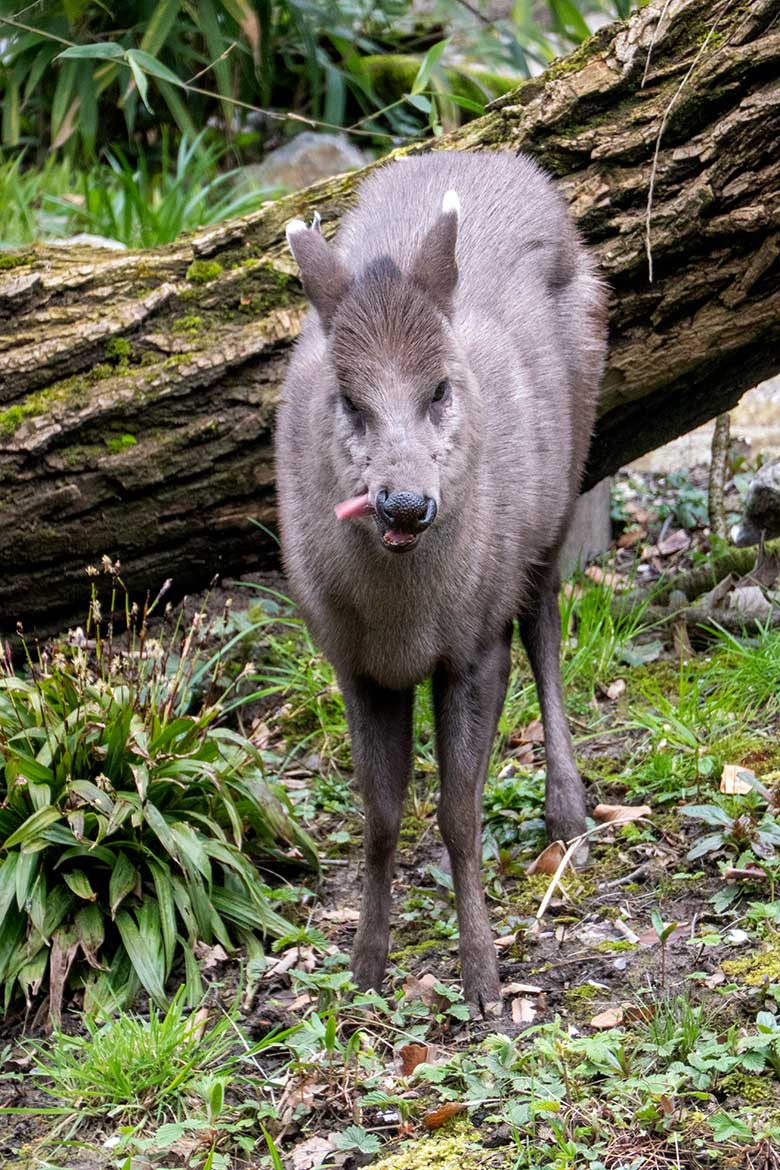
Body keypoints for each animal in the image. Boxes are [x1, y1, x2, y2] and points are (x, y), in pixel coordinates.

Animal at [275, 148, 608, 1006]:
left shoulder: (473, 642)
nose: (405, 502)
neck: (404, 621)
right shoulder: (352, 663)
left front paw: (485, 976)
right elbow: (382, 816)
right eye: (348, 398)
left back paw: (569, 815)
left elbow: (460, 814)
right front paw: (366, 967)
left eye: (439, 388)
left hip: (567, 471)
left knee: (546, 621)